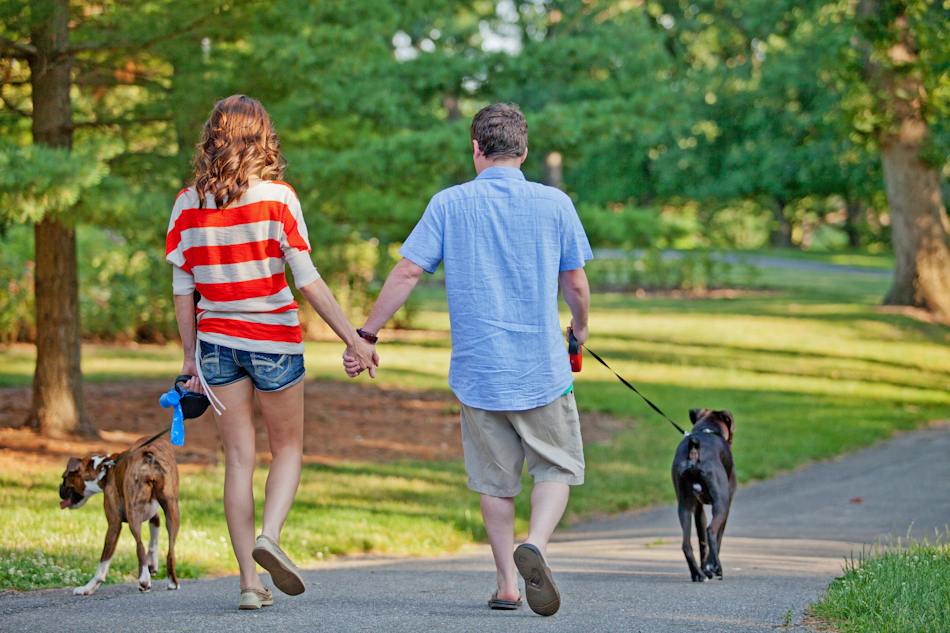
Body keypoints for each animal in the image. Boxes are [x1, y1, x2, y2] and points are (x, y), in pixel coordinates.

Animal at [60, 434, 181, 592]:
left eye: (64, 478)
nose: (59, 488)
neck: (104, 469)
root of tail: (149, 455)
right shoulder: (154, 514)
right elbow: (154, 538)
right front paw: (152, 563)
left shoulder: (114, 524)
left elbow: (103, 562)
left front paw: (88, 587)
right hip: (172, 509)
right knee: (170, 551)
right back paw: (172, 581)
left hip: (133, 512)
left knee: (139, 546)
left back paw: (144, 579)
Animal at [668, 410, 736, 584]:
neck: (707, 429)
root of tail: (694, 451)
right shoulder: (726, 503)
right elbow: (717, 539)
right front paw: (711, 567)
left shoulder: (698, 509)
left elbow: (701, 542)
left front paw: (705, 569)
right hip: (722, 504)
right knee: (711, 531)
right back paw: (717, 569)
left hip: (684, 506)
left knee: (686, 544)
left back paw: (698, 574)